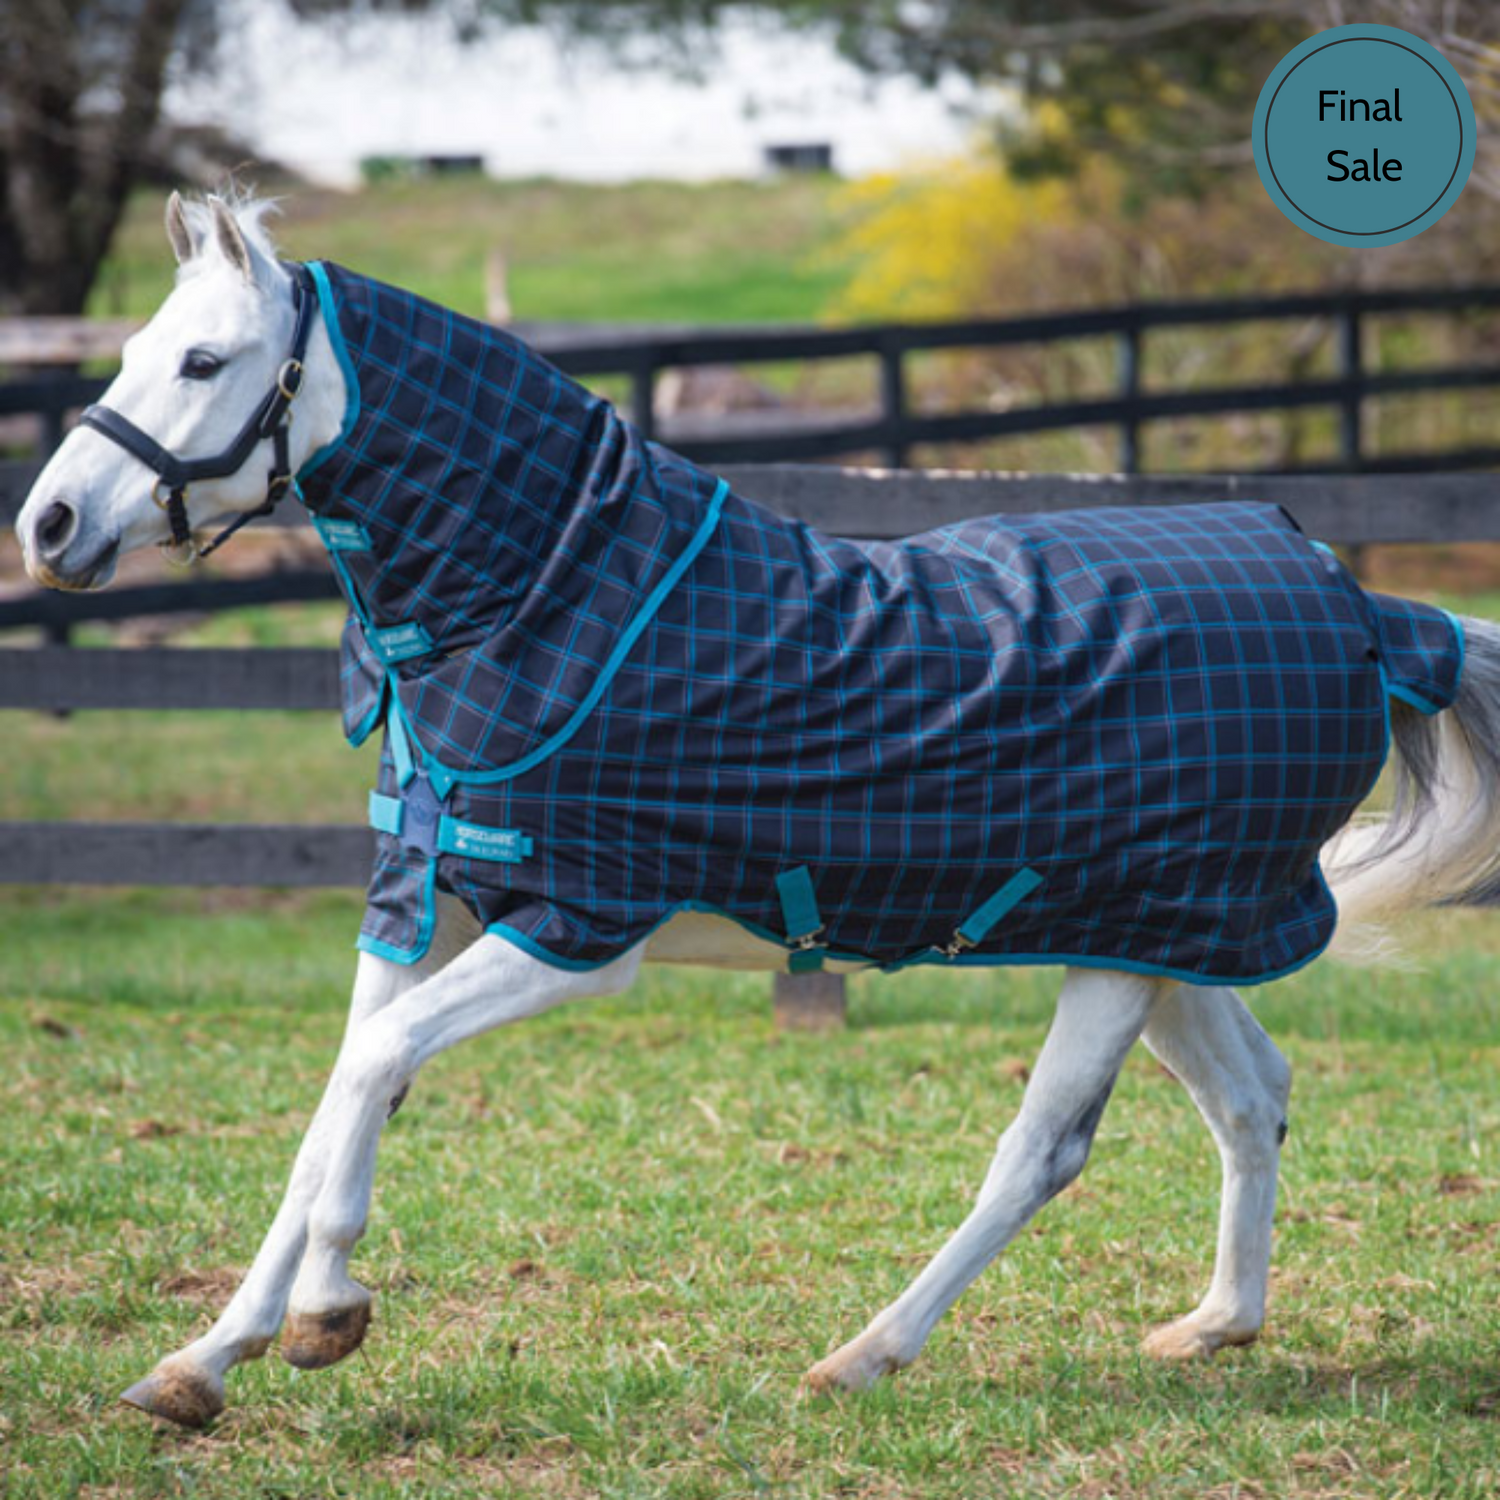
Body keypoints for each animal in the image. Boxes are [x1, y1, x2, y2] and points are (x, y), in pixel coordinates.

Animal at [15, 192, 1500, 1431]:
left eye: (204, 364)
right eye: (138, 346)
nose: (48, 526)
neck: (552, 592)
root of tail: (1365, 606)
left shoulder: (579, 930)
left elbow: (373, 1074)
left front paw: (329, 1317)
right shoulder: (423, 905)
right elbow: (332, 1109)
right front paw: (204, 1363)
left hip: (1133, 948)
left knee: (1044, 1151)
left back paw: (865, 1356)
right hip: (1159, 942)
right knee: (1254, 1097)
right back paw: (1212, 1328)